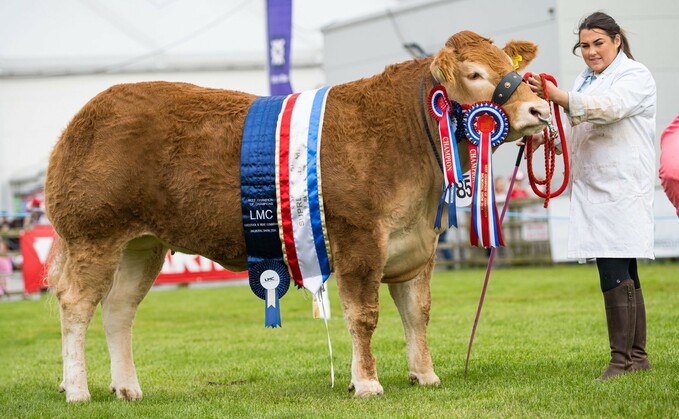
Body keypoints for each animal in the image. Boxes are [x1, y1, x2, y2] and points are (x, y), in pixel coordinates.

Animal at [43, 31, 552, 402]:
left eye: (512, 69)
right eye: (475, 73)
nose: (539, 108)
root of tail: (87, 114)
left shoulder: (418, 245)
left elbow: (417, 313)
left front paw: (424, 375)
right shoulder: (359, 240)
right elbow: (363, 314)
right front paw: (367, 383)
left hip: (141, 244)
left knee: (118, 308)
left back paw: (127, 388)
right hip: (94, 234)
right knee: (75, 304)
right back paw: (78, 390)